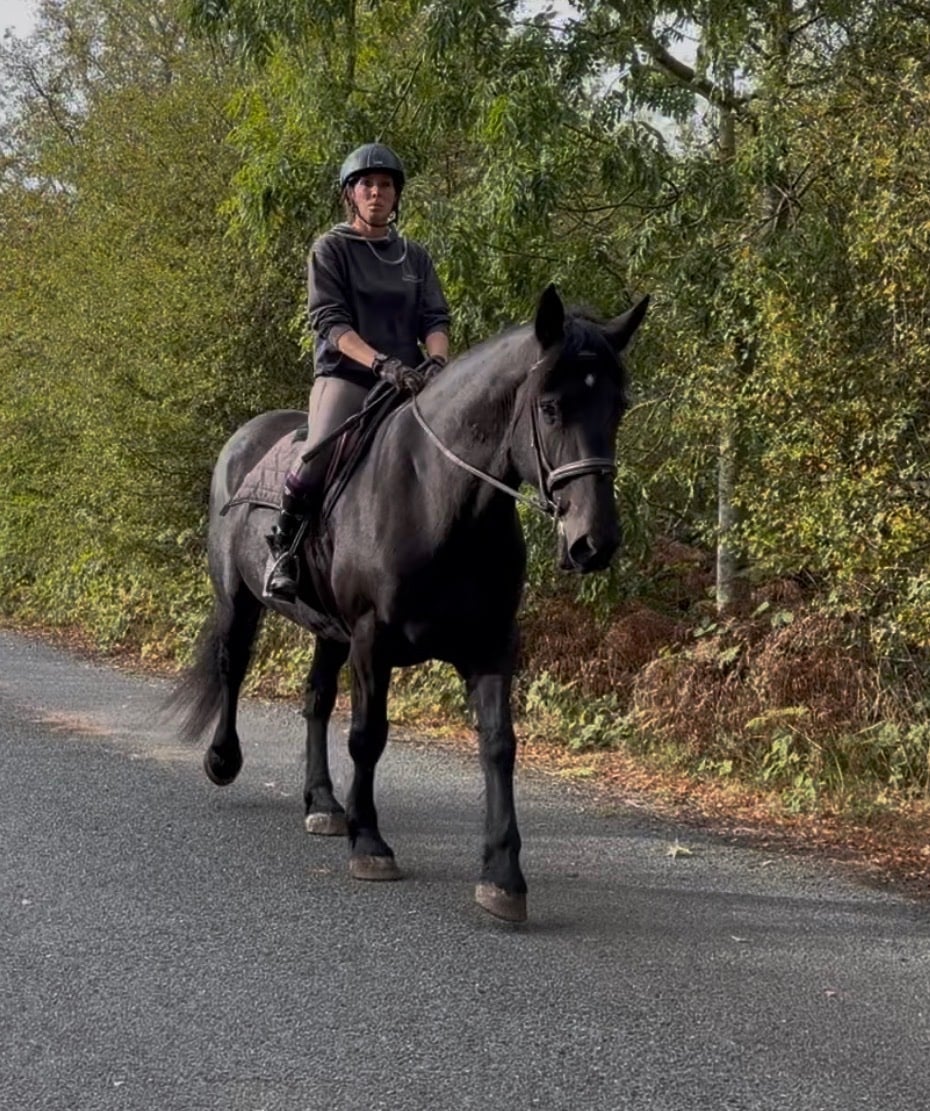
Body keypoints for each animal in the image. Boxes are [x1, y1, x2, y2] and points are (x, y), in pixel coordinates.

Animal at [170, 284, 648, 922]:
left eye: (617, 406)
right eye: (550, 407)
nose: (594, 541)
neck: (437, 499)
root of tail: (244, 439)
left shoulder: (491, 644)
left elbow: (499, 745)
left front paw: (503, 876)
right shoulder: (372, 639)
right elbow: (368, 736)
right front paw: (370, 844)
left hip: (328, 630)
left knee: (315, 700)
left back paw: (323, 803)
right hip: (239, 598)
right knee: (233, 667)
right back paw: (224, 761)